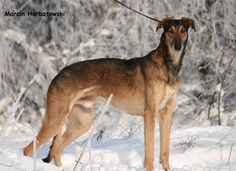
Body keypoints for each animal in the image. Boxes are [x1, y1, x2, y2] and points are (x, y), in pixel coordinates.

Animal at [23, 17, 195, 171]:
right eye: (170, 31)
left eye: (183, 30)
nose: (177, 46)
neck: (168, 66)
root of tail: (58, 74)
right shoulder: (150, 114)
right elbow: (149, 156)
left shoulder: (166, 113)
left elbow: (165, 153)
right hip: (55, 121)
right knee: (28, 150)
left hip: (81, 123)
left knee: (56, 150)